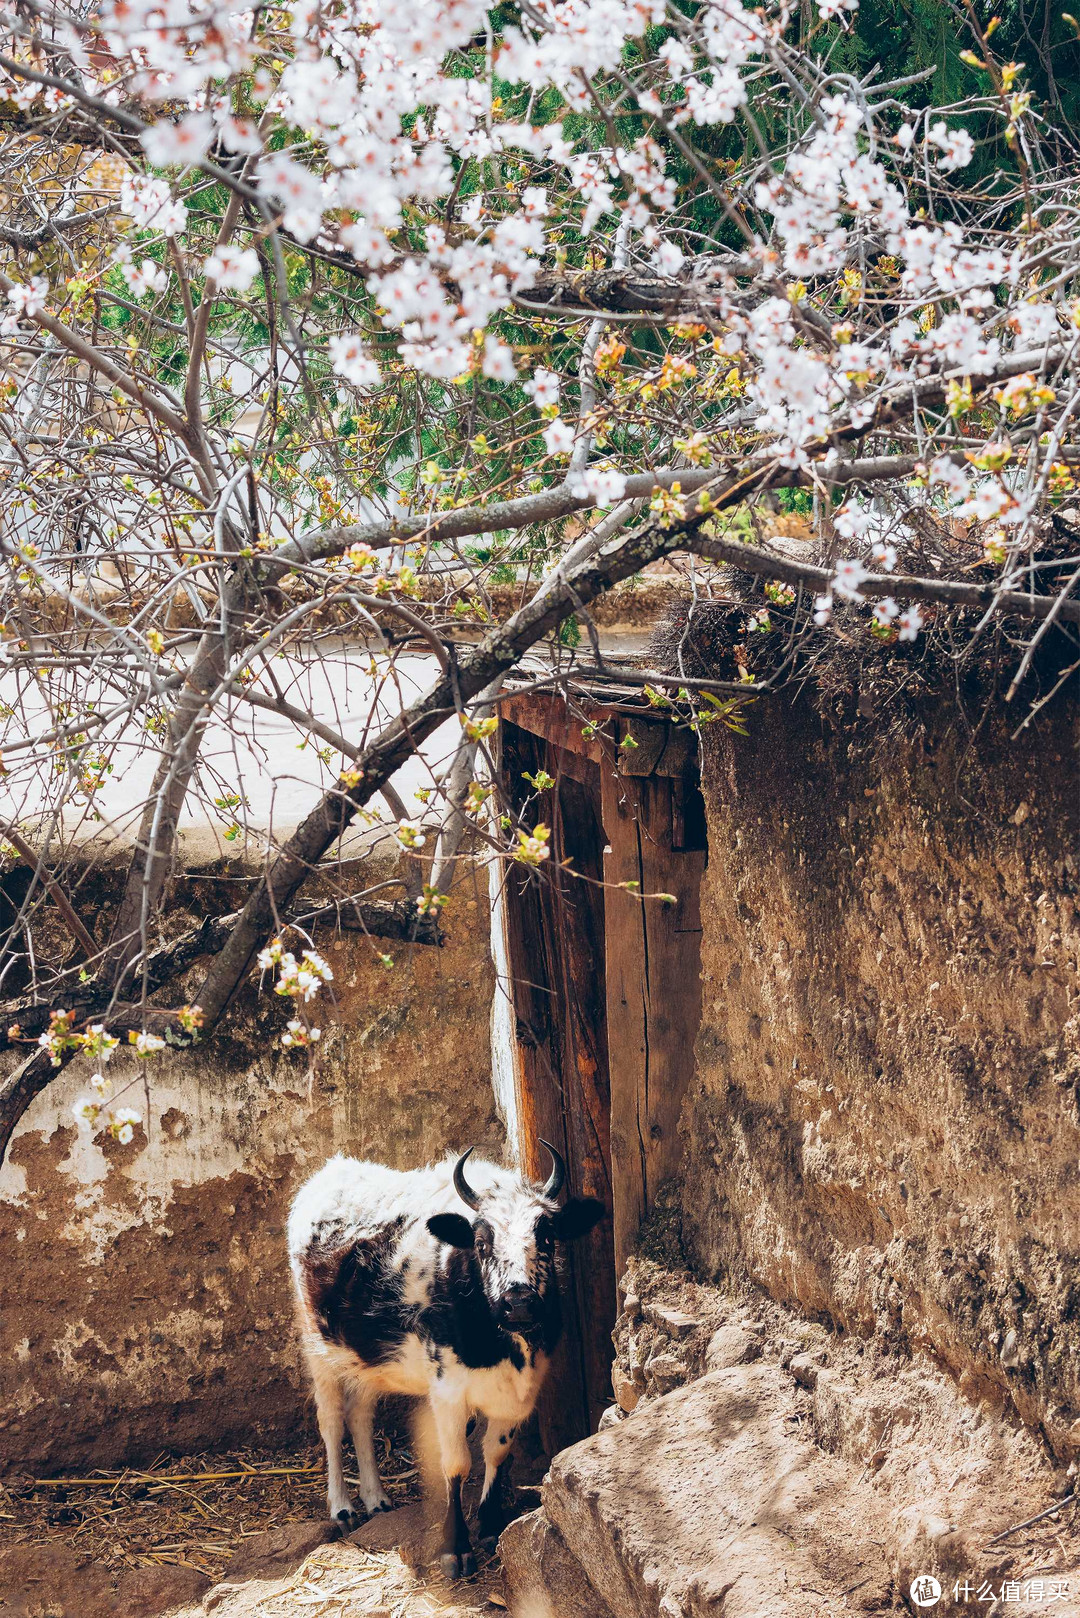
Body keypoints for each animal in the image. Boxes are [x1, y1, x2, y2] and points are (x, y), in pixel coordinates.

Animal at [286, 1145, 608, 1572]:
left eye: (547, 1238)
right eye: (481, 1243)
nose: (519, 1302)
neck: (499, 1345)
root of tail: (333, 1170)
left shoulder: (519, 1393)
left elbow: (496, 1452)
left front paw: (490, 1524)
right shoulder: (448, 1393)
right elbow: (456, 1465)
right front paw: (456, 1548)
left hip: (368, 1360)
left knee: (360, 1416)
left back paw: (377, 1499)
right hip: (319, 1349)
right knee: (332, 1422)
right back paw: (342, 1507)